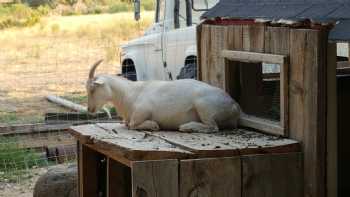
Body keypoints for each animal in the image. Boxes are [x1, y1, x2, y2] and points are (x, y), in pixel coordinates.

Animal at [87, 60, 241, 133]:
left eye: (92, 89)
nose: (90, 110)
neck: (131, 92)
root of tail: (235, 105)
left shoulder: (141, 114)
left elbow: (133, 125)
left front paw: (154, 125)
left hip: (204, 107)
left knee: (213, 127)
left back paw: (187, 127)